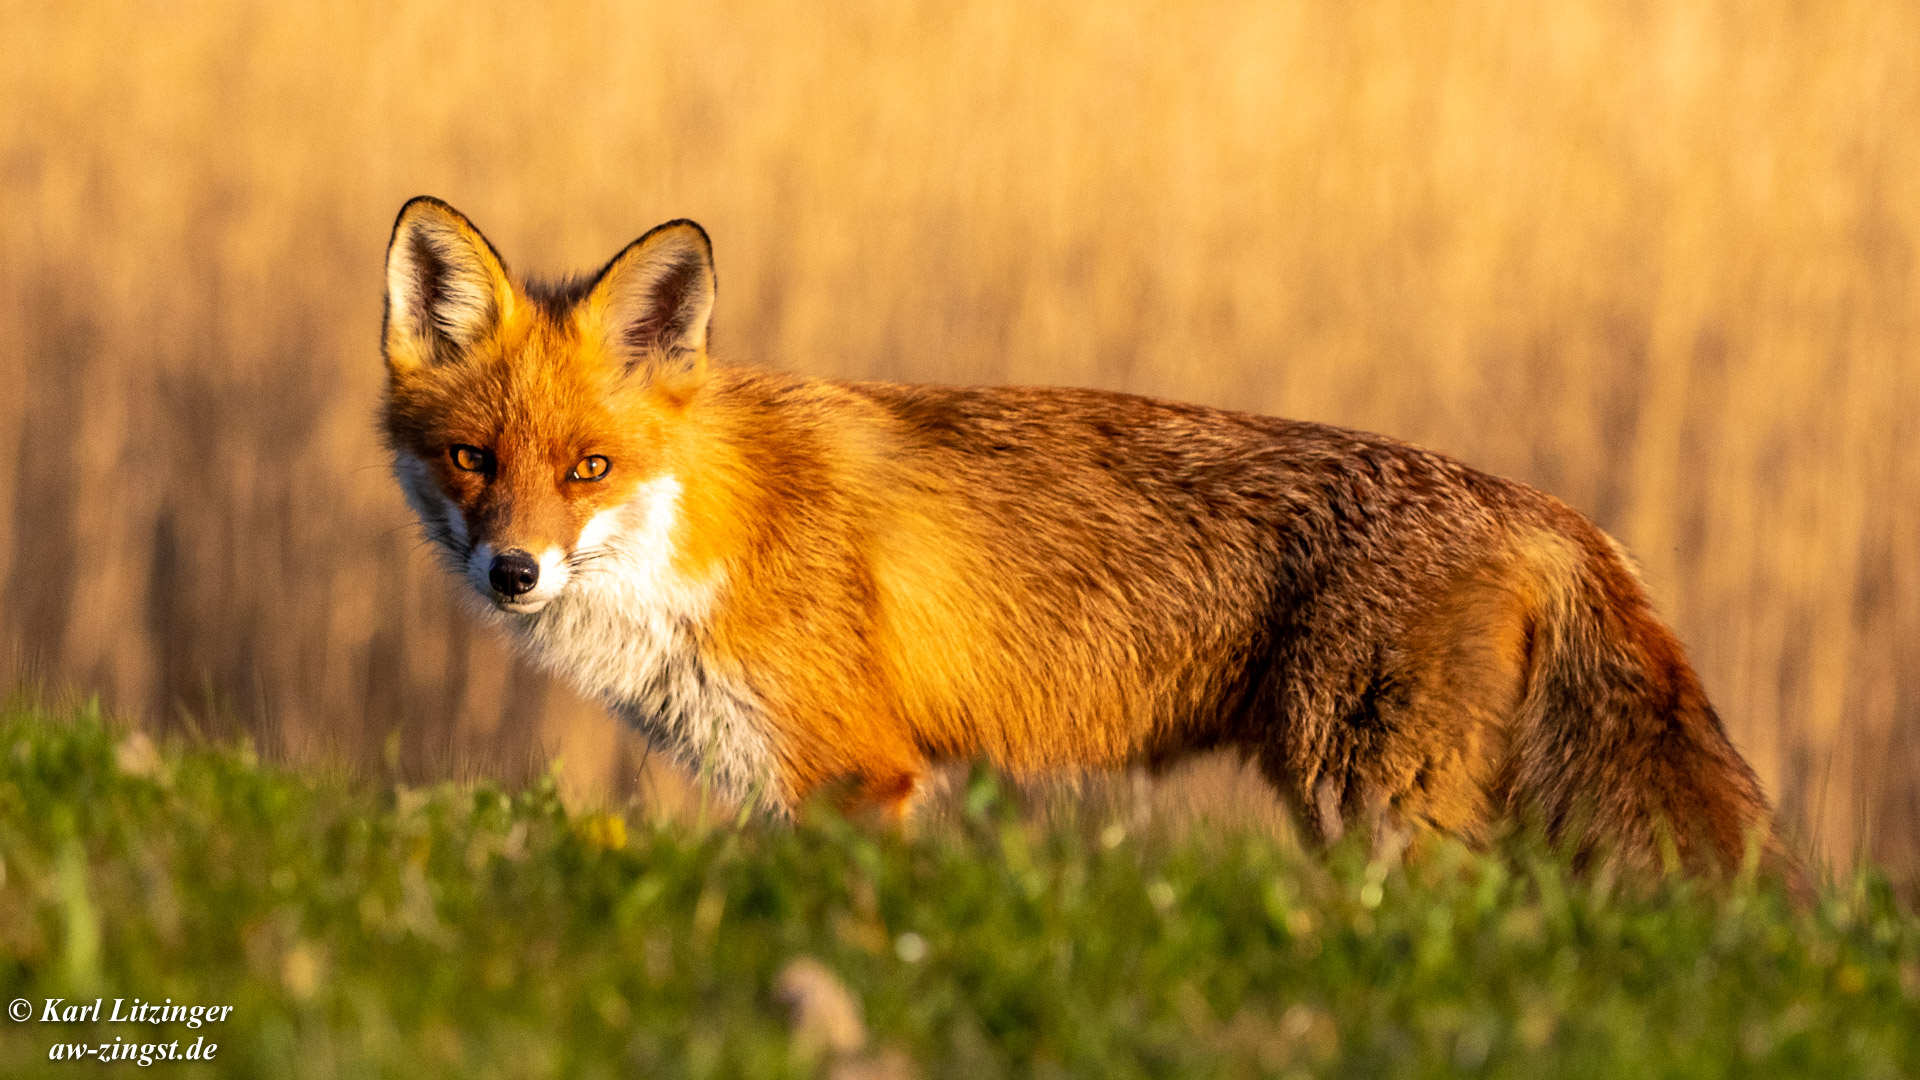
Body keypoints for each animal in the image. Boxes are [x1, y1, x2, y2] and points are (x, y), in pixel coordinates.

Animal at [382, 195, 1789, 876]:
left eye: (589, 469)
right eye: (472, 462)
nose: (513, 571)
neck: (709, 534)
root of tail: (1547, 507)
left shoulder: (855, 773)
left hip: (1372, 803)